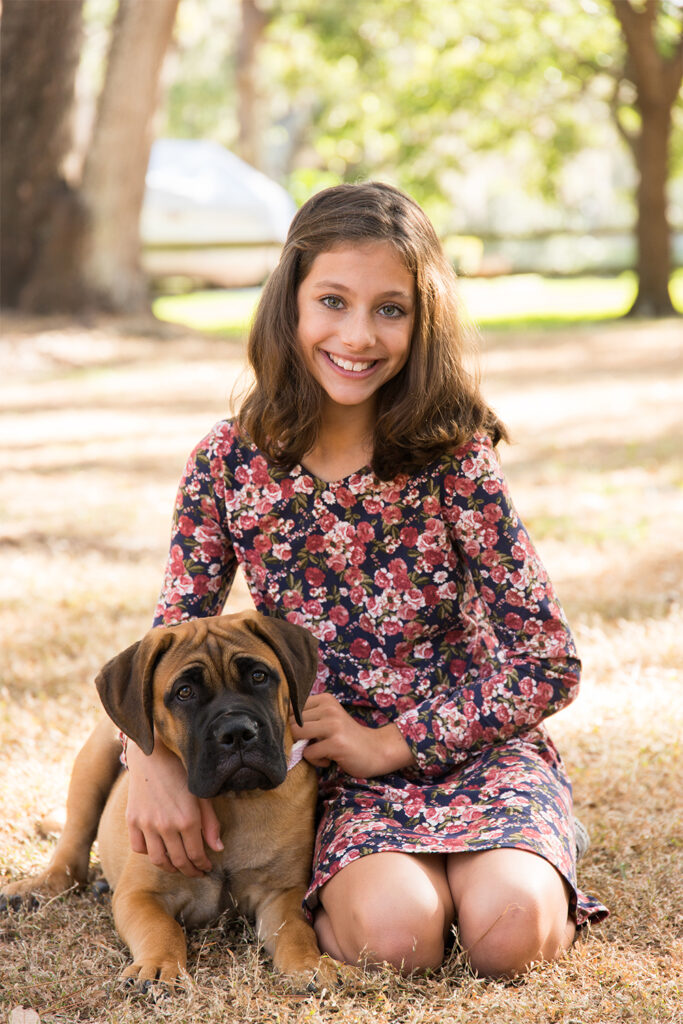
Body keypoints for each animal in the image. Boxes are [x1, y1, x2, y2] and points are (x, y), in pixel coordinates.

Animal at [2, 610, 333, 987]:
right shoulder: (141, 894)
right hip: (95, 757)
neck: (232, 801)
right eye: (184, 692)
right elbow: (162, 928)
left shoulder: (282, 893)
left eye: (259, 676)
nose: (237, 732)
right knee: (72, 852)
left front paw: (310, 964)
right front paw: (159, 965)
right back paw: (37, 887)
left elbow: (296, 930)